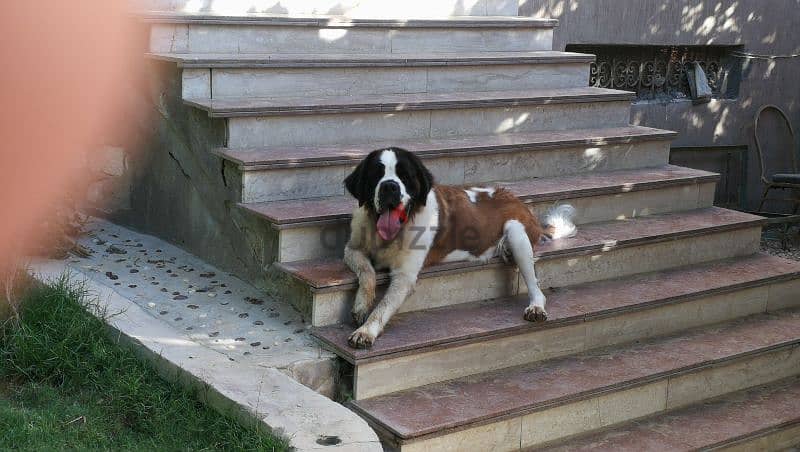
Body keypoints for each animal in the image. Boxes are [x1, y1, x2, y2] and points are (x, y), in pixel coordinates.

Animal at [344, 147, 576, 348]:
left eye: (405, 176)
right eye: (376, 174)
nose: (390, 186)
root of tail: (518, 201)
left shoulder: (404, 277)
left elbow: (382, 307)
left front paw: (366, 331)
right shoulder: (352, 250)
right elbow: (367, 272)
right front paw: (361, 306)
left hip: (517, 231)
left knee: (535, 284)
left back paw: (536, 306)